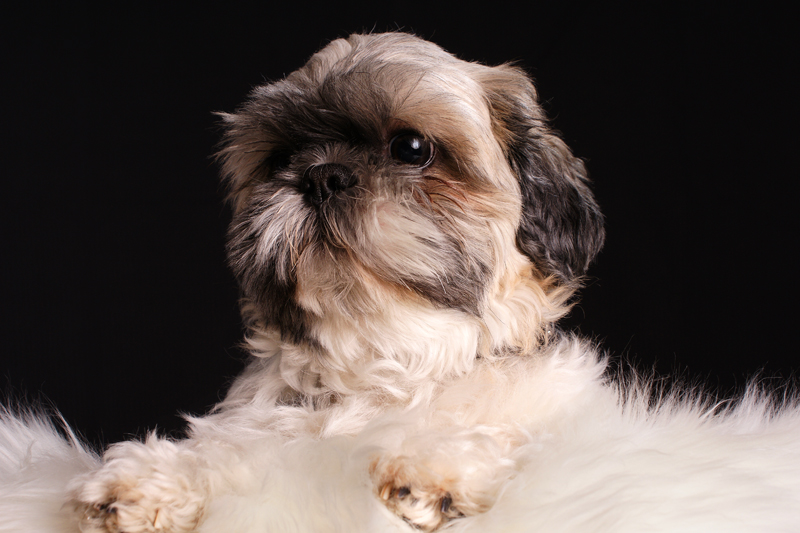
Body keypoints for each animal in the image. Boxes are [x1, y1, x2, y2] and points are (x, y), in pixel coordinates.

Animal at [2, 32, 800, 533]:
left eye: (412, 147)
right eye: (280, 157)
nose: (320, 175)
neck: (388, 364)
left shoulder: (564, 417)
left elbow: (505, 430)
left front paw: (436, 467)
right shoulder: (267, 433)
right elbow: (225, 451)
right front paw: (148, 478)